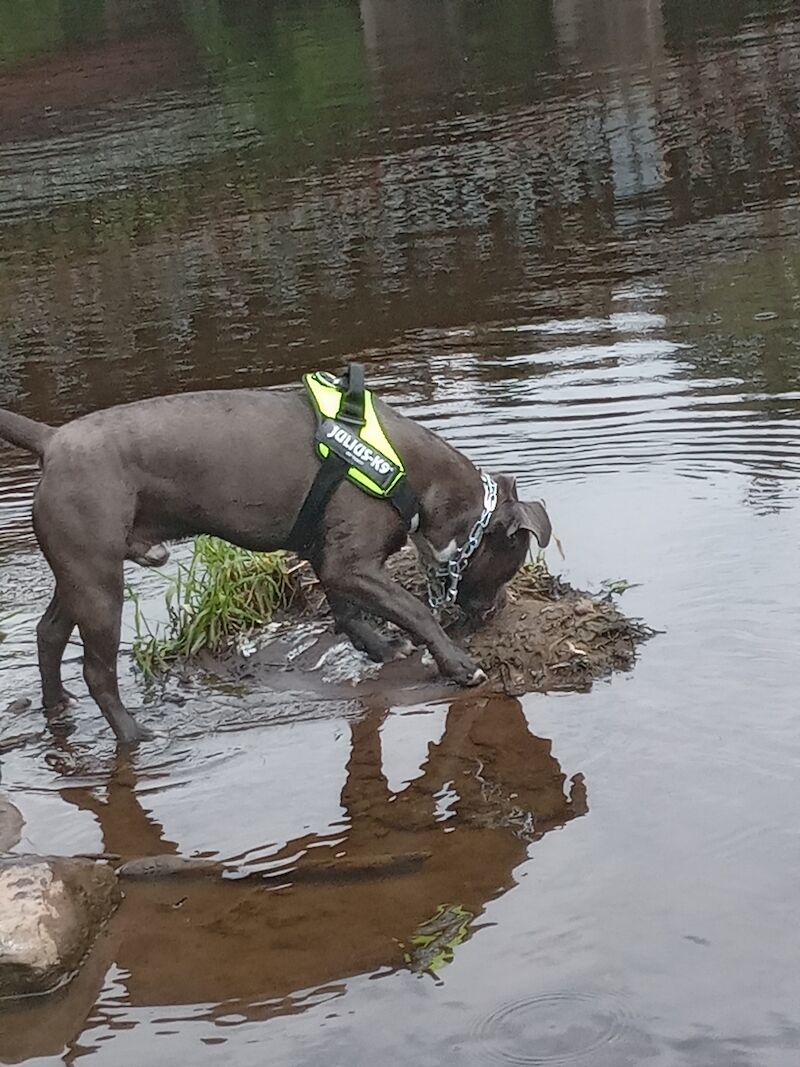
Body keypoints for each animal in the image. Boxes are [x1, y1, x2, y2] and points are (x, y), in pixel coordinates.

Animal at [0, 384, 550, 742]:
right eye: (512, 560)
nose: (496, 609)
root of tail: (53, 440)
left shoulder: (331, 558)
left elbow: (346, 611)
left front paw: (380, 647)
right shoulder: (351, 562)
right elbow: (412, 609)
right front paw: (459, 664)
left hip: (77, 574)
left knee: (49, 633)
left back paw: (58, 707)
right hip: (99, 584)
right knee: (97, 670)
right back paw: (135, 734)